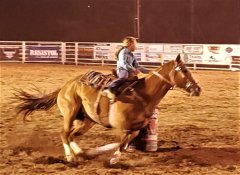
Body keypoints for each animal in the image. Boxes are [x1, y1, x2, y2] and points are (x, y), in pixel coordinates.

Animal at [13, 54, 201, 164]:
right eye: (184, 70)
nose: (198, 89)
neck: (143, 94)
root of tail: (65, 86)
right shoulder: (120, 126)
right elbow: (120, 143)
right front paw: (112, 159)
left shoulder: (135, 128)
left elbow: (124, 143)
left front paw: (104, 154)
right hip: (70, 112)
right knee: (64, 133)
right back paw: (70, 157)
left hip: (87, 120)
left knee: (72, 135)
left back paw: (82, 153)